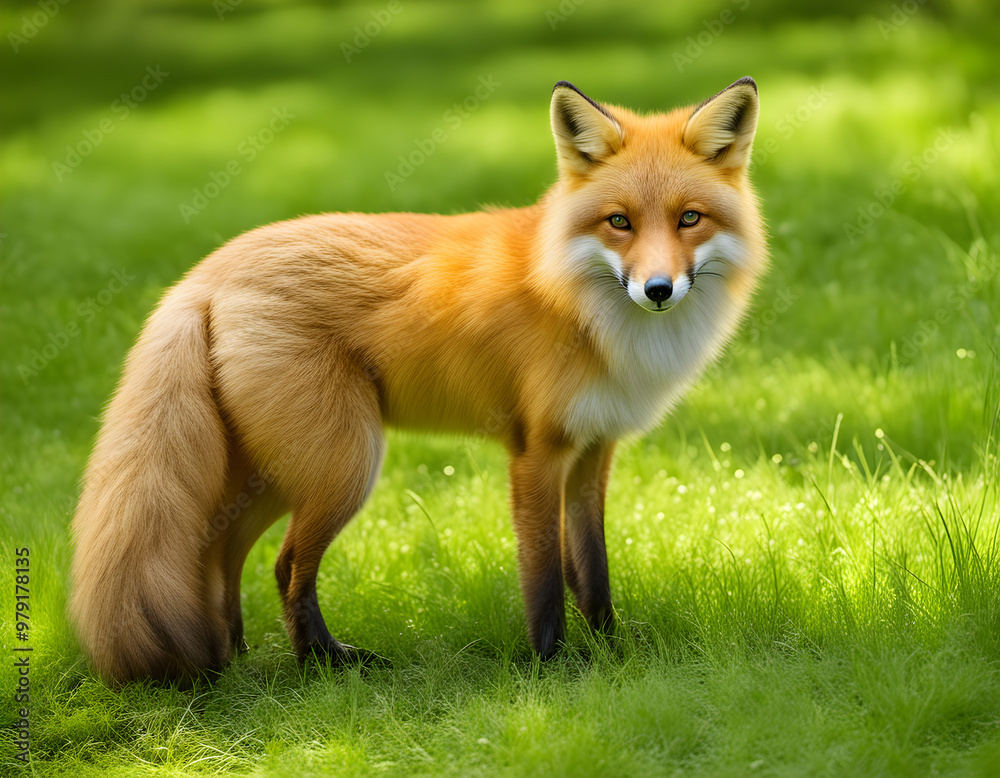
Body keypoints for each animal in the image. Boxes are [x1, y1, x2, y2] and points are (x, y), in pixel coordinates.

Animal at [70, 77, 768, 683]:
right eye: (619, 222)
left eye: (689, 219)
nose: (658, 289)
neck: (582, 306)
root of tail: (205, 271)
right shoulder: (537, 452)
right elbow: (545, 575)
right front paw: (552, 666)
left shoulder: (594, 451)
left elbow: (591, 572)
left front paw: (611, 652)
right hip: (342, 464)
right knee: (286, 565)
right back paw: (324, 666)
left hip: (275, 473)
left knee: (220, 553)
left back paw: (231, 659)